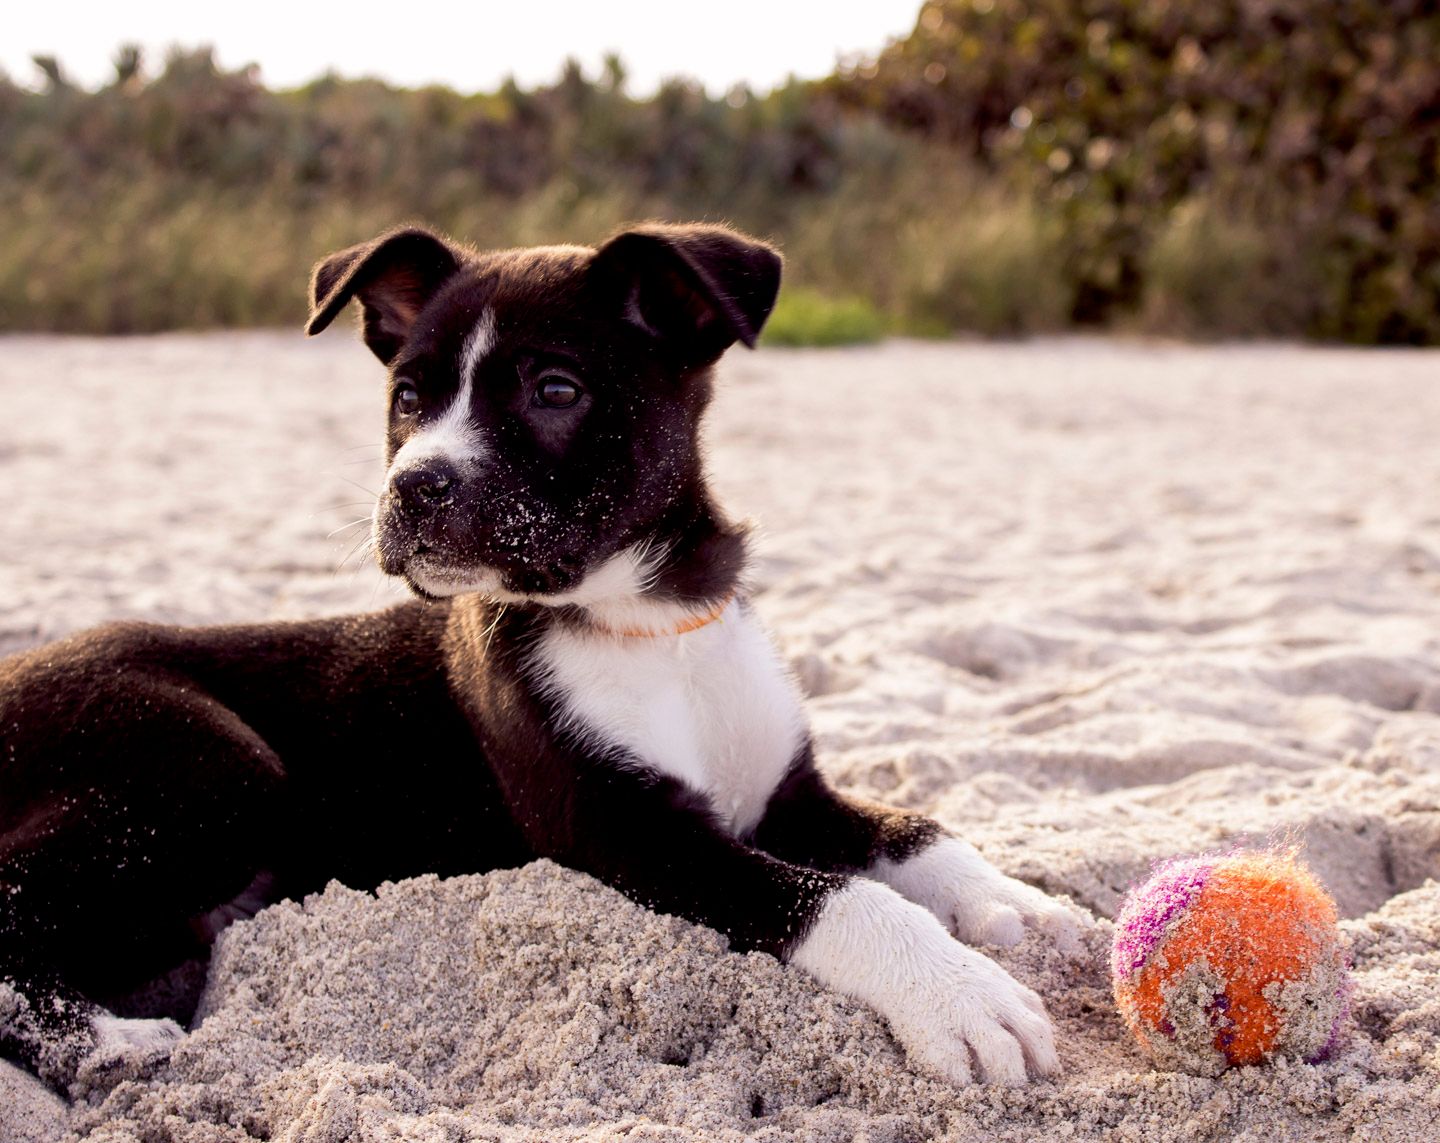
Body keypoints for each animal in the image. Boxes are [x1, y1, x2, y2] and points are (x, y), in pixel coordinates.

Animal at [0, 220, 1077, 1088]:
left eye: (554, 390)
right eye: (407, 397)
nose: (413, 485)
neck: (645, 622)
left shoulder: (786, 792)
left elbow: (914, 831)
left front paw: (1017, 903)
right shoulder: (625, 830)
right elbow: (833, 896)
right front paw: (957, 994)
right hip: (213, 767)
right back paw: (105, 1042)